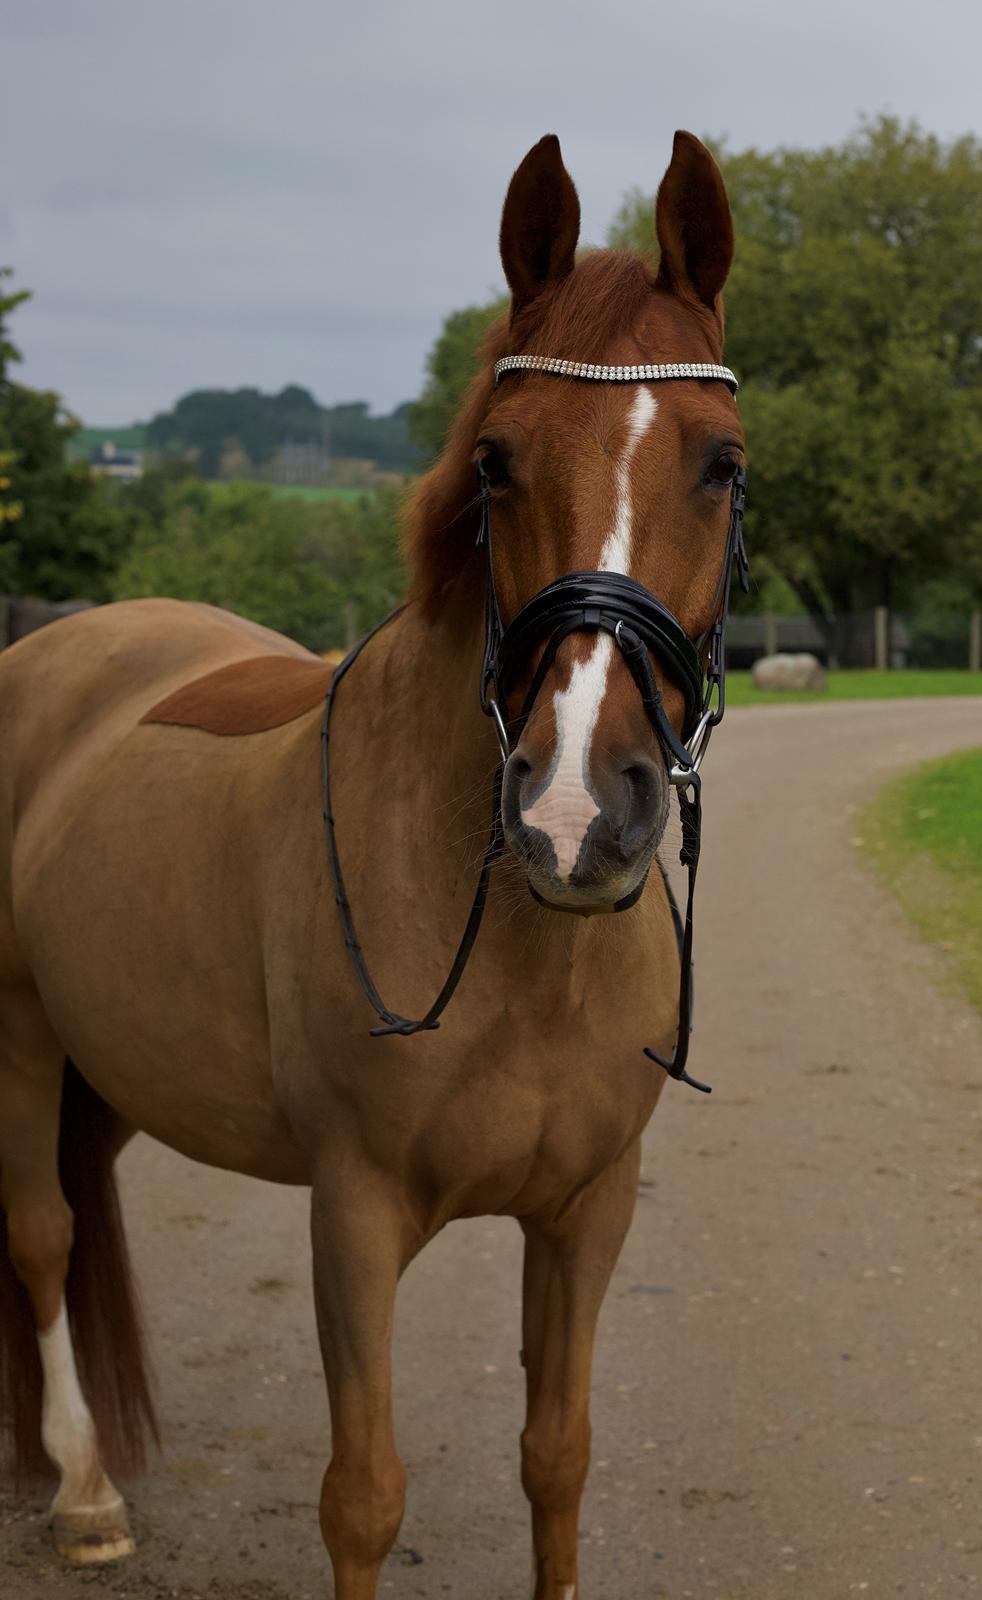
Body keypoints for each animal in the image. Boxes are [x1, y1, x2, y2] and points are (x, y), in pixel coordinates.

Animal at [0, 137, 745, 1600]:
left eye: (722, 464)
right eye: (496, 464)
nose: (576, 810)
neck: (527, 952)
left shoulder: (584, 1215)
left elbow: (556, 1460)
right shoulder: (352, 1214)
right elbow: (362, 1497)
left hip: (103, 1061)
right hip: (16, 1039)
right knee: (44, 1237)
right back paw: (84, 1492)